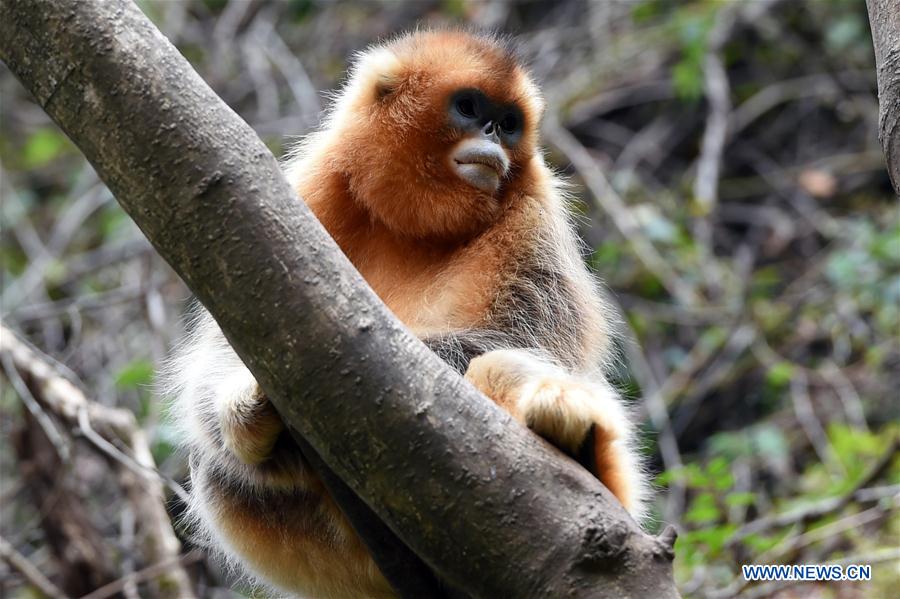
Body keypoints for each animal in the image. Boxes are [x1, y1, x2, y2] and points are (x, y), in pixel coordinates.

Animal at [164, 30, 648, 599]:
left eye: (509, 123)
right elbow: (220, 354)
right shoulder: (313, 184)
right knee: (218, 473)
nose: (494, 134)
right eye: (470, 108)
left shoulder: (532, 210)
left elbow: (525, 340)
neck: (420, 227)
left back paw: (579, 443)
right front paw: (251, 412)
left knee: (501, 366)